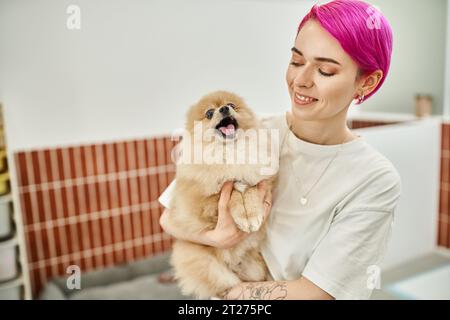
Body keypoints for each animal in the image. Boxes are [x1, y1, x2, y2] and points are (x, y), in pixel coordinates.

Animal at [167, 90, 280, 300]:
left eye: (232, 105)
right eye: (209, 113)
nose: (224, 109)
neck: (230, 153)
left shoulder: (262, 181)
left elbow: (249, 188)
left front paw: (252, 215)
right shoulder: (203, 202)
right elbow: (232, 191)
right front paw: (244, 216)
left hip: (256, 269)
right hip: (210, 267)